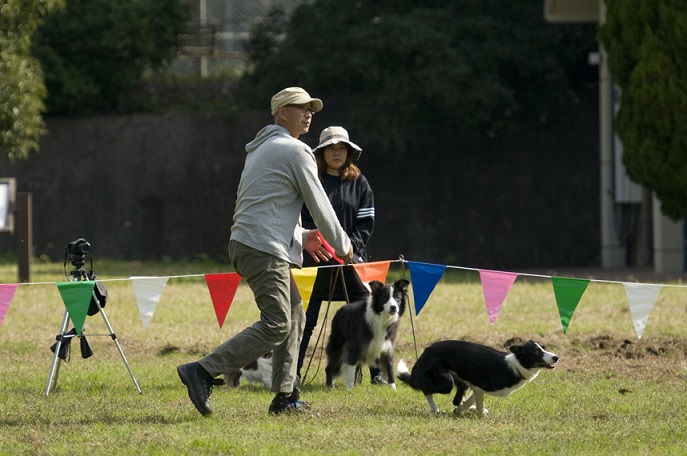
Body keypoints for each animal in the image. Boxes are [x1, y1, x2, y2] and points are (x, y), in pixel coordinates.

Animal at [397, 339, 559, 416]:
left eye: (545, 348)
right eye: (537, 352)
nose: (556, 357)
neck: (517, 365)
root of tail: (424, 353)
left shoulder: (474, 386)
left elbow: (468, 402)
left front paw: (461, 411)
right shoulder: (479, 386)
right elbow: (479, 404)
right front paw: (480, 413)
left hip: (460, 382)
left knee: (456, 400)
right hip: (445, 381)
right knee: (426, 390)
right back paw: (434, 408)